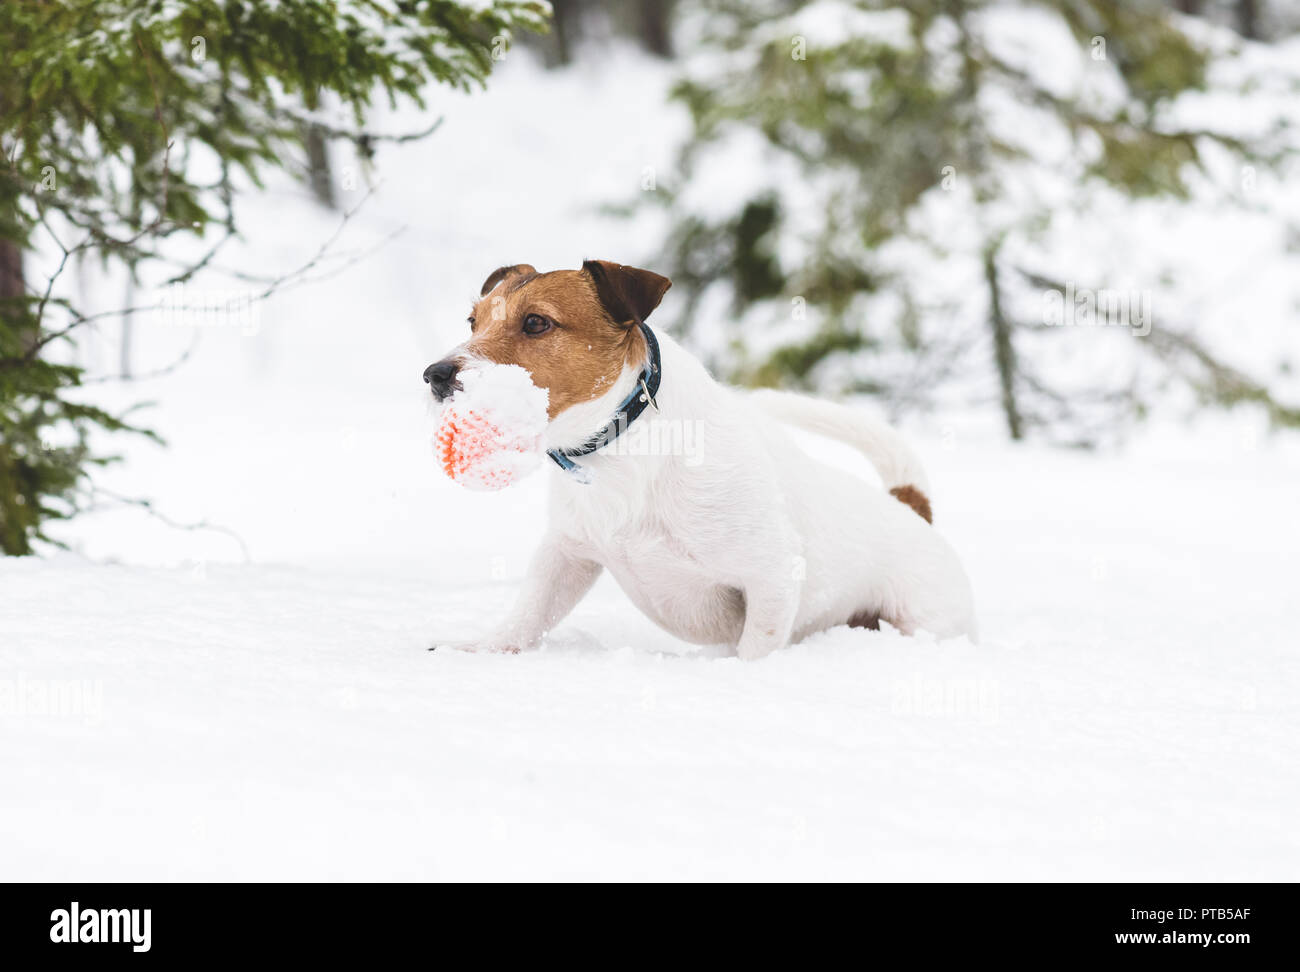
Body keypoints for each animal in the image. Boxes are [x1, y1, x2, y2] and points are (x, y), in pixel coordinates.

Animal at [426, 259, 977, 660]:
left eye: (536, 322)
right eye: (473, 321)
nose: (434, 374)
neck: (625, 449)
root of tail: (908, 509)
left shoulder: (771, 577)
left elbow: (756, 648)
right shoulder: (567, 554)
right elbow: (530, 612)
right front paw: (481, 649)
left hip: (925, 614)